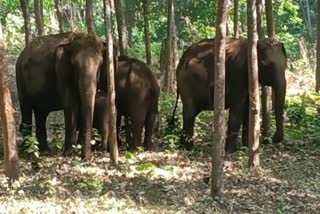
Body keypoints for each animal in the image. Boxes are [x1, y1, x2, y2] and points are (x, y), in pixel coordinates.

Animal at [16, 31, 107, 159]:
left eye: (100, 64)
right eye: (74, 65)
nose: (85, 158)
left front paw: (77, 150)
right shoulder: (62, 72)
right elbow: (71, 104)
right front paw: (68, 154)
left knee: (41, 114)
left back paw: (44, 151)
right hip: (20, 79)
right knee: (26, 108)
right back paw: (27, 152)